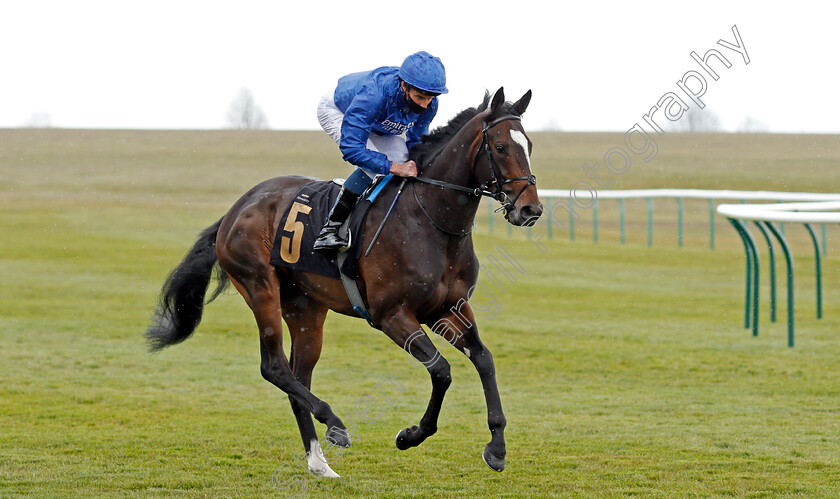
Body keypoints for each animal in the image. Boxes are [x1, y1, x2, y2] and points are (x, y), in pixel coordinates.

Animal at [146, 88, 544, 478]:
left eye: (529, 144)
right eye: (500, 147)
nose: (531, 209)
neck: (430, 219)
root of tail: (237, 208)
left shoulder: (449, 309)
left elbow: (484, 359)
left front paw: (496, 447)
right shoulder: (391, 314)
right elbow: (441, 370)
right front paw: (411, 435)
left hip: (306, 308)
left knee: (298, 377)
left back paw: (318, 461)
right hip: (260, 288)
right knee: (273, 366)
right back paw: (335, 424)